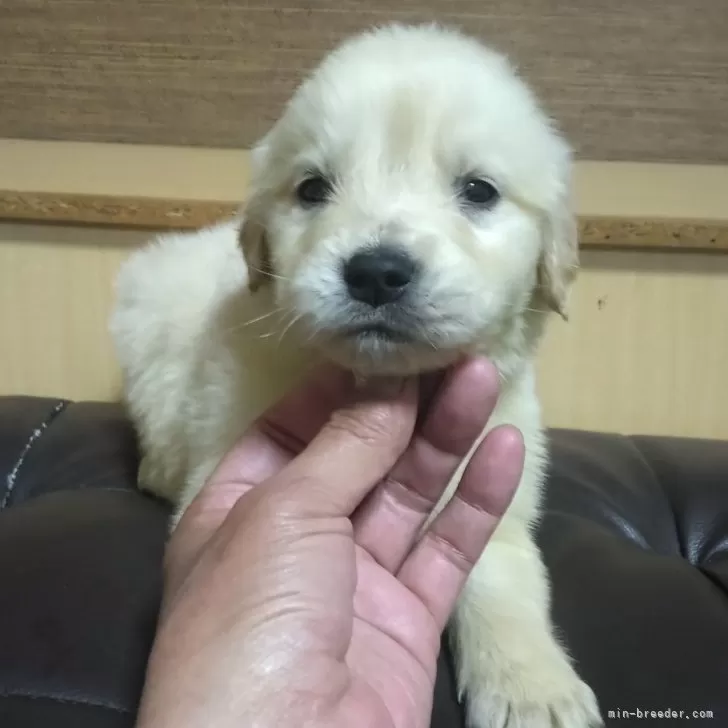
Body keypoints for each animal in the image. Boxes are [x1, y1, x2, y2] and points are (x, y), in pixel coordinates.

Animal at [112, 22, 604, 728]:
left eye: (479, 191)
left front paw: (532, 688)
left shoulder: (496, 466)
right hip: (141, 313)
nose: (375, 272)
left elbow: (503, 577)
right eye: (313, 188)